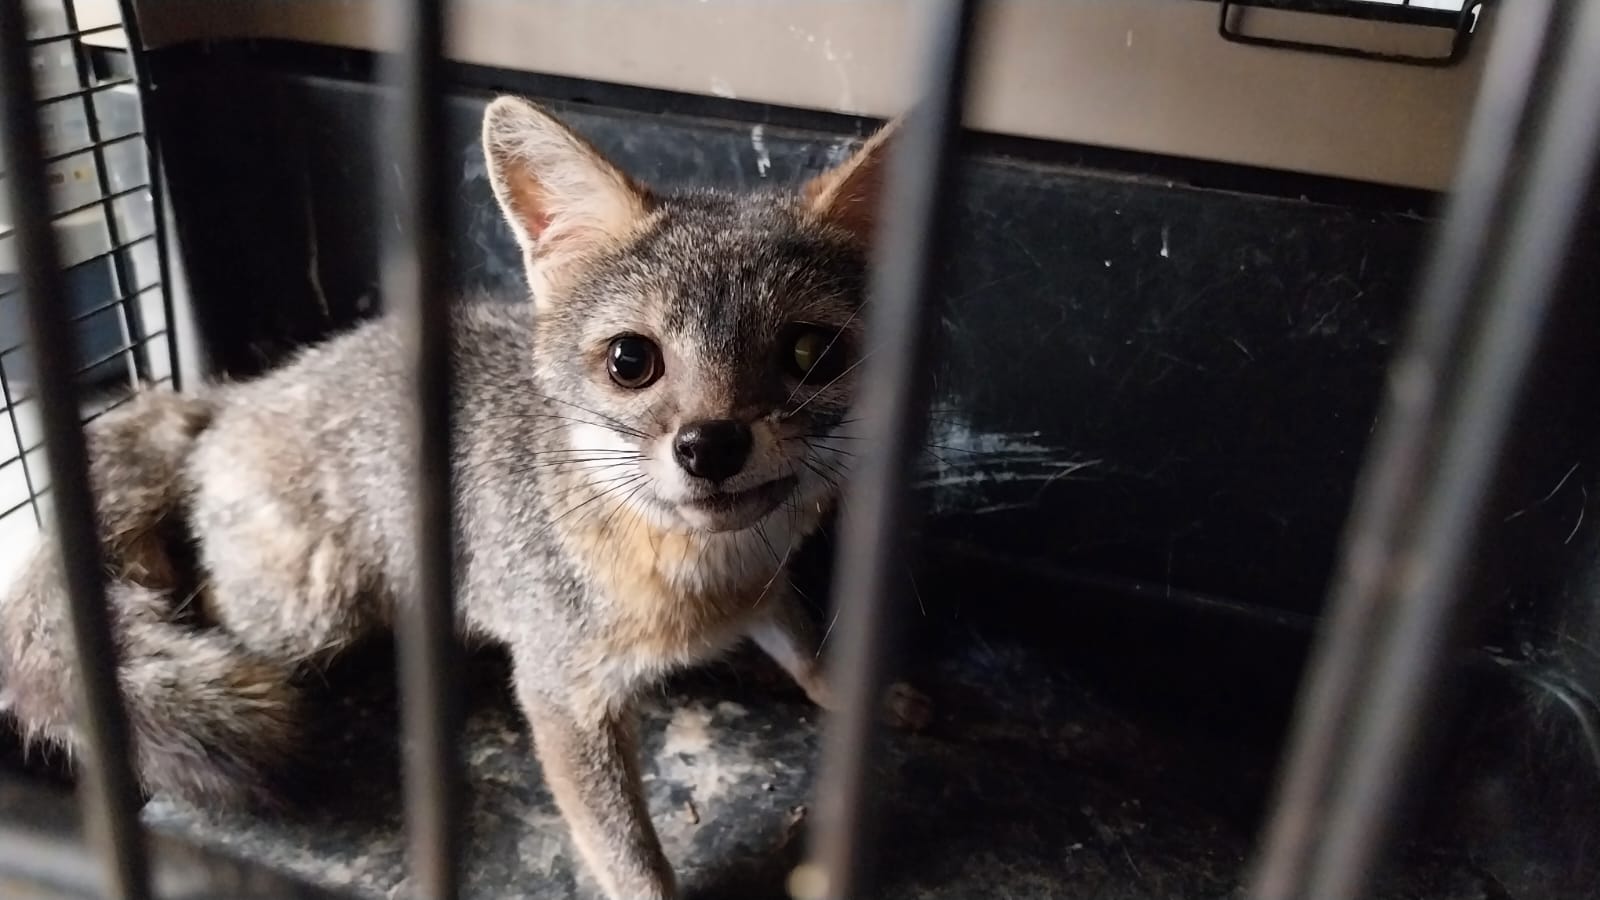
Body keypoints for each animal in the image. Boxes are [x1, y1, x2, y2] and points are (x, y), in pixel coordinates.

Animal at [0, 96, 928, 899]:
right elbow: (628, 850)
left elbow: (808, 645)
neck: (707, 577)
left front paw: (858, 691)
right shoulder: (561, 692)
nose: (710, 446)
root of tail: (228, 396)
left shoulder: (766, 585)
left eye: (810, 353)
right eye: (632, 361)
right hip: (309, 609)